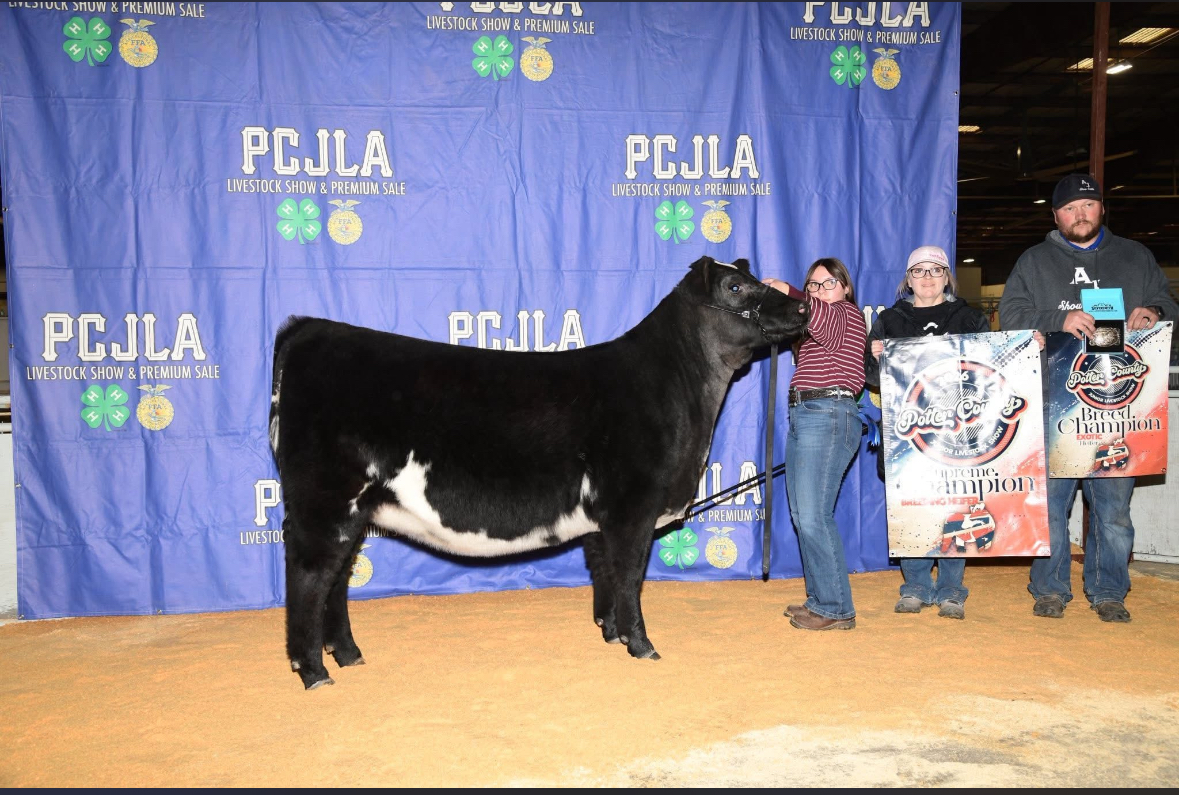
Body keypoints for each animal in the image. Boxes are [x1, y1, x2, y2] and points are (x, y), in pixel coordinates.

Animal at [269, 256, 808, 689]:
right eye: (735, 287)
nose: (803, 309)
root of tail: (308, 329)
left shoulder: (602, 518)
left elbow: (605, 573)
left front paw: (610, 633)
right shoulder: (632, 507)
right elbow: (630, 577)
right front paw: (641, 646)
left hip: (353, 510)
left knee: (337, 580)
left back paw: (347, 655)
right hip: (325, 502)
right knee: (310, 576)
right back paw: (313, 671)